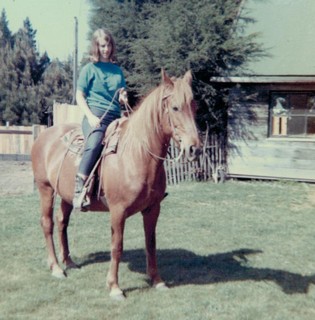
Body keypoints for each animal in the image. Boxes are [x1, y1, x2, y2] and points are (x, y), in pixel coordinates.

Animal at [31, 68, 200, 300]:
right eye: (175, 107)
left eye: (194, 106)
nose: (194, 148)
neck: (136, 154)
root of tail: (44, 136)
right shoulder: (118, 211)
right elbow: (116, 246)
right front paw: (114, 287)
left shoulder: (153, 209)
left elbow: (151, 243)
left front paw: (157, 280)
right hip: (45, 189)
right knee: (47, 223)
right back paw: (56, 267)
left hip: (66, 196)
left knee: (61, 222)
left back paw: (69, 262)